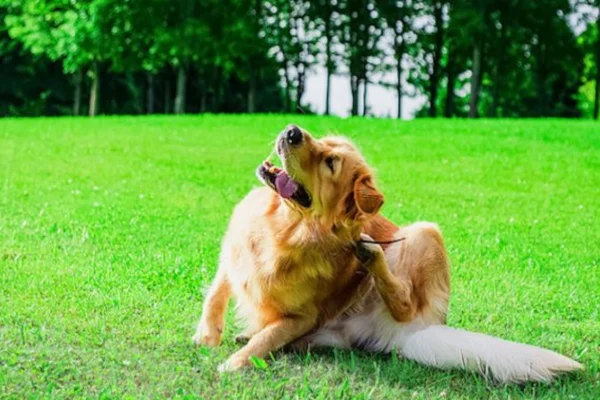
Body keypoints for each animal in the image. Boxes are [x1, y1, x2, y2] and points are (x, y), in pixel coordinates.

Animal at [195, 124, 584, 382]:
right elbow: (215, 294)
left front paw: (235, 362)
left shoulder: (305, 315)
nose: (292, 131)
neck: (285, 226)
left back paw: (371, 256)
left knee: (403, 300)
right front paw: (207, 336)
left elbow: (270, 336)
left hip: (425, 232)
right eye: (322, 139)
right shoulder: (233, 256)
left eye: (330, 163)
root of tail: (417, 332)